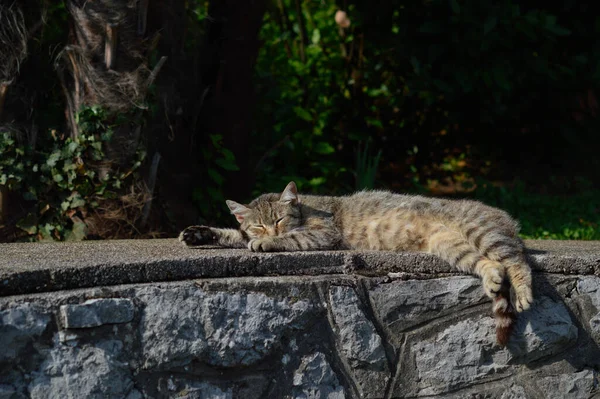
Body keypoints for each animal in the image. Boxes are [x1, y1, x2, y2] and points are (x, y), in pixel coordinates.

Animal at [179, 183, 536, 346]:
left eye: (279, 220)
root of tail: (507, 219)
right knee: (492, 265)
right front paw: (200, 233)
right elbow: (233, 235)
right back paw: (492, 279)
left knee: (516, 261)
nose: (270, 232)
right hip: (452, 247)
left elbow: (292, 239)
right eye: (258, 224)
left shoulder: (323, 235)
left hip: (483, 232)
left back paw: (522, 292)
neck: (304, 208)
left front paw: (269, 243)